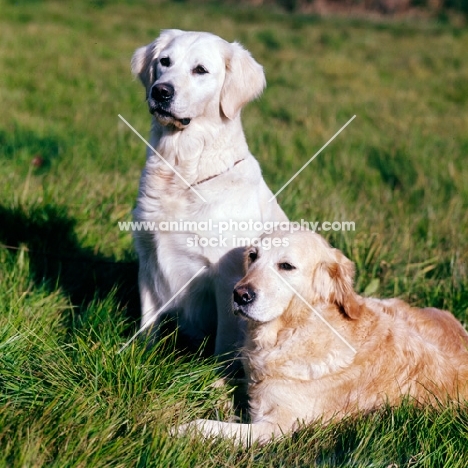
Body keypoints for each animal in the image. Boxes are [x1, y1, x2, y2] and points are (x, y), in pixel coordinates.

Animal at [130, 30, 288, 358]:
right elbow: (147, 325)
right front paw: (139, 356)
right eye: (164, 62)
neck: (181, 170)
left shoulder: (226, 276)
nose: (160, 91)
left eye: (200, 70)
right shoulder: (148, 259)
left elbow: (224, 343)